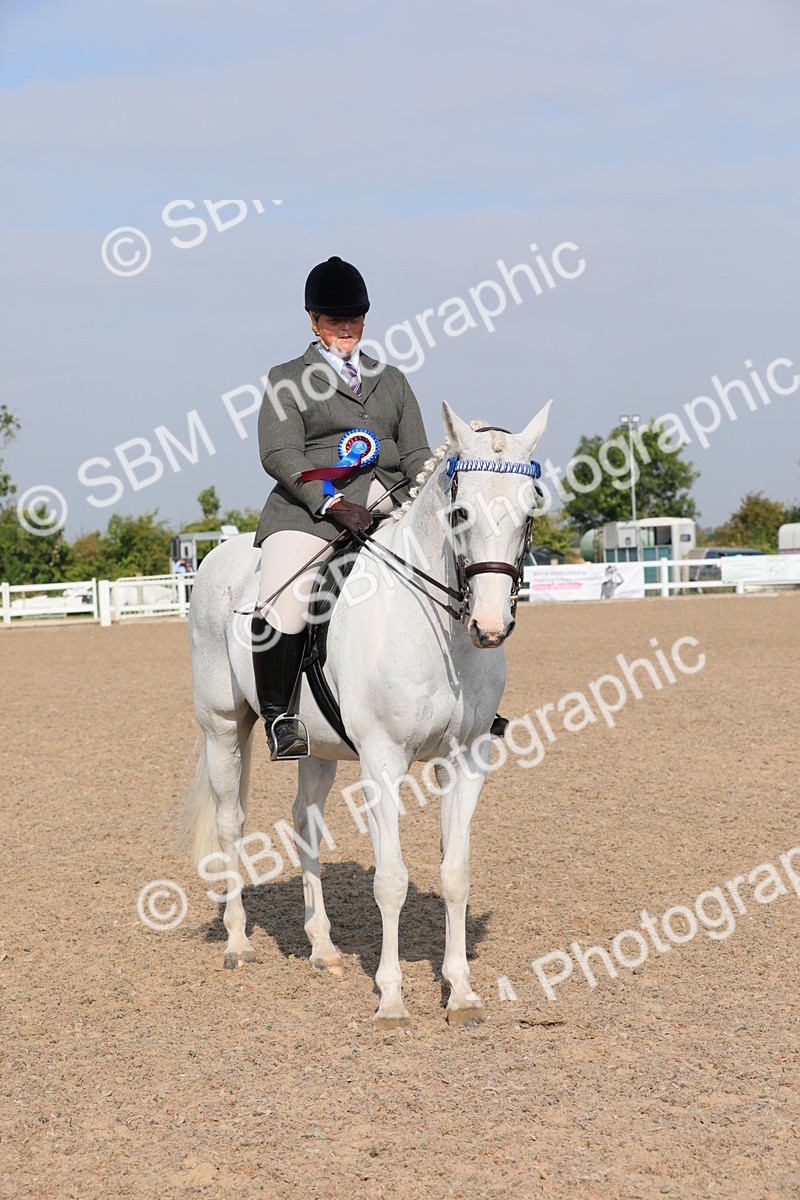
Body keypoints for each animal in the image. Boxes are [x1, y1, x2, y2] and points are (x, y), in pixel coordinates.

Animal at [179, 399, 551, 1027]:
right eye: (460, 513)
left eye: (528, 515)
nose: (490, 627)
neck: (438, 629)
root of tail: (217, 557)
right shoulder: (383, 762)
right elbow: (391, 881)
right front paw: (393, 999)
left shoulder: (465, 761)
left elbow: (455, 875)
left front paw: (461, 993)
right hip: (223, 728)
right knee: (232, 822)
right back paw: (237, 942)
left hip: (316, 746)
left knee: (304, 823)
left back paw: (323, 948)